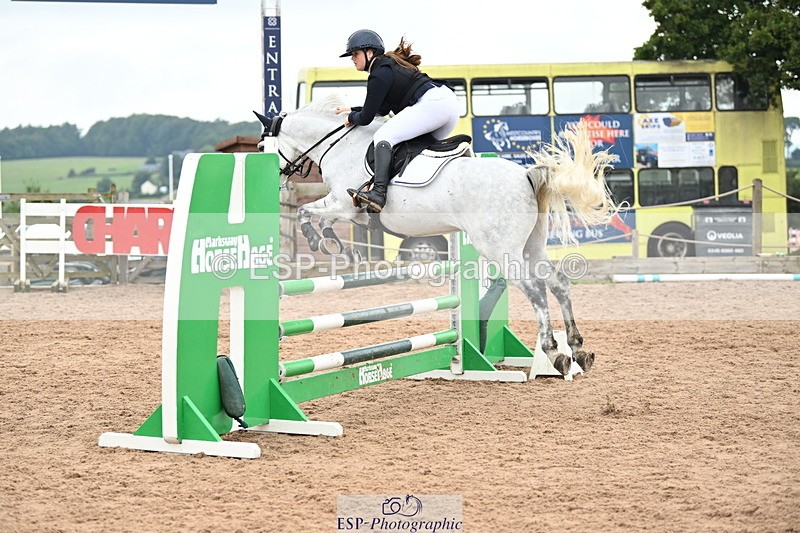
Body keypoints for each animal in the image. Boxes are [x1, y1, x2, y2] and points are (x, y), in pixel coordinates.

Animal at [256, 95, 618, 376]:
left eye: (261, 146)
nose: (278, 180)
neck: (341, 145)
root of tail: (526, 175)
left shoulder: (343, 203)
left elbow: (305, 213)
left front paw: (317, 241)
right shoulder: (350, 210)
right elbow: (327, 221)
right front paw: (343, 250)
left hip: (500, 249)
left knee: (536, 290)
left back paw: (554, 351)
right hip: (531, 245)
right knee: (558, 284)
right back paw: (577, 349)